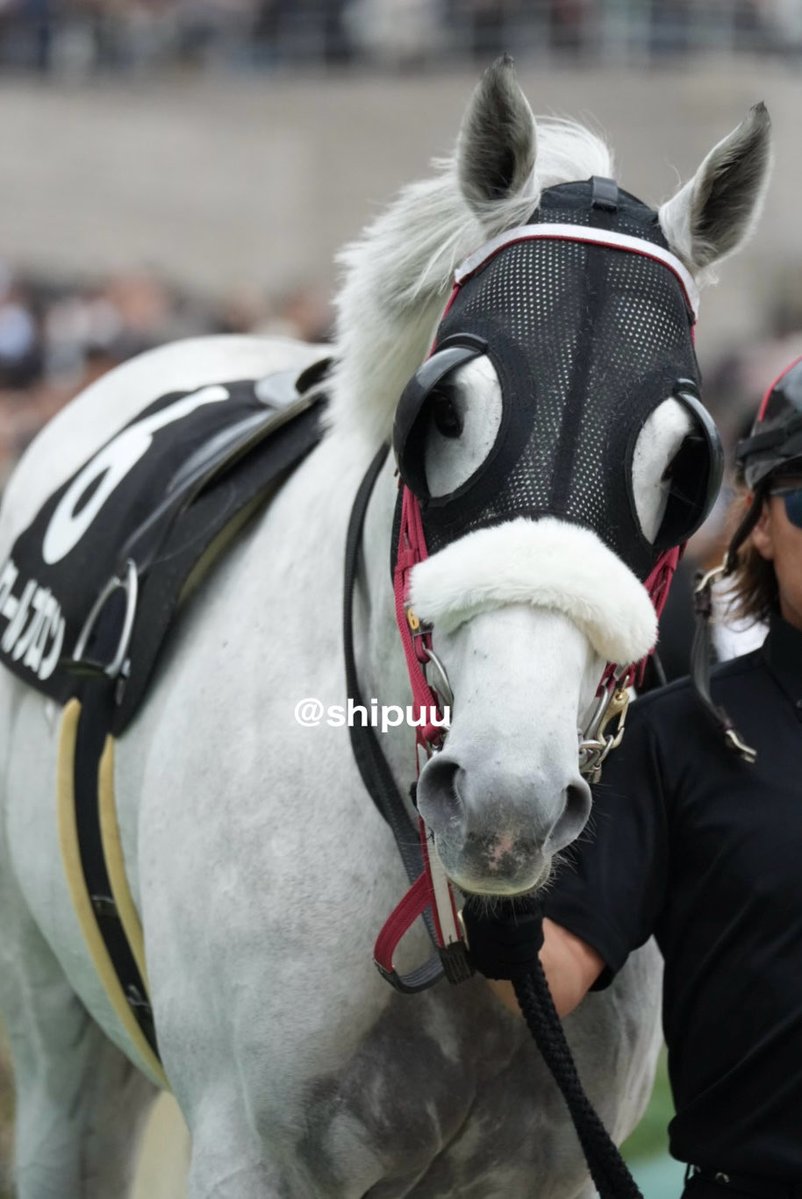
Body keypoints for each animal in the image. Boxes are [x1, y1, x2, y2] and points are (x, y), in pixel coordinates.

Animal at [0, 58, 771, 1199]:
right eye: (443, 412)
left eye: (688, 463)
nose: (505, 800)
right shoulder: (248, 1153)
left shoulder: (556, 1163)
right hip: (55, 1032)